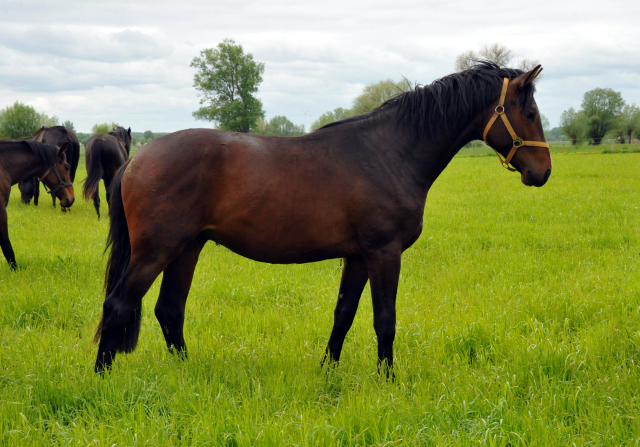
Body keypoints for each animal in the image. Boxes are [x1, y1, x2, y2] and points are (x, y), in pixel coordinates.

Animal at [92, 63, 552, 376]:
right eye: (529, 113)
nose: (543, 172)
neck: (389, 152)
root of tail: (136, 161)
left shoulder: (359, 256)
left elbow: (344, 314)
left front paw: (327, 372)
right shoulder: (384, 253)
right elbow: (384, 320)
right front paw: (389, 381)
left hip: (187, 248)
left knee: (169, 311)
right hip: (157, 250)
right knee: (118, 303)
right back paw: (102, 377)